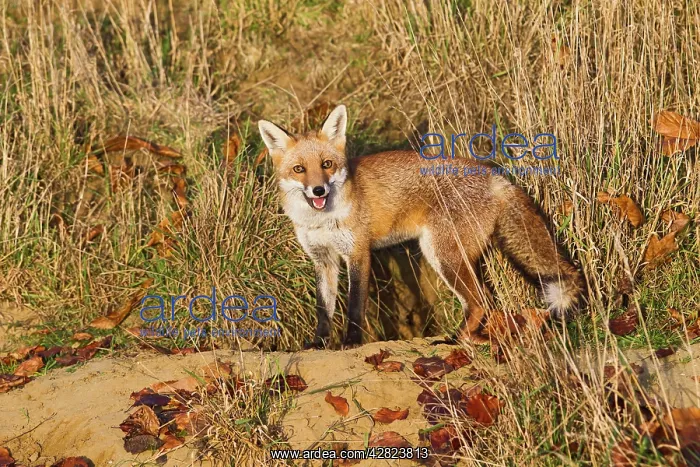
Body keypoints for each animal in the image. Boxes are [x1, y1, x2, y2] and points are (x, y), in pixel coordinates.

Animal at [258, 105, 582, 348]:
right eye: (299, 169)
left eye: (327, 164)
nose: (319, 191)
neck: (321, 221)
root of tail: (492, 174)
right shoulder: (323, 259)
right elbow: (323, 309)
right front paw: (320, 343)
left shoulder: (358, 253)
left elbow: (354, 306)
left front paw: (351, 342)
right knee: (483, 301)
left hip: (442, 254)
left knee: (482, 301)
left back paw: (457, 340)